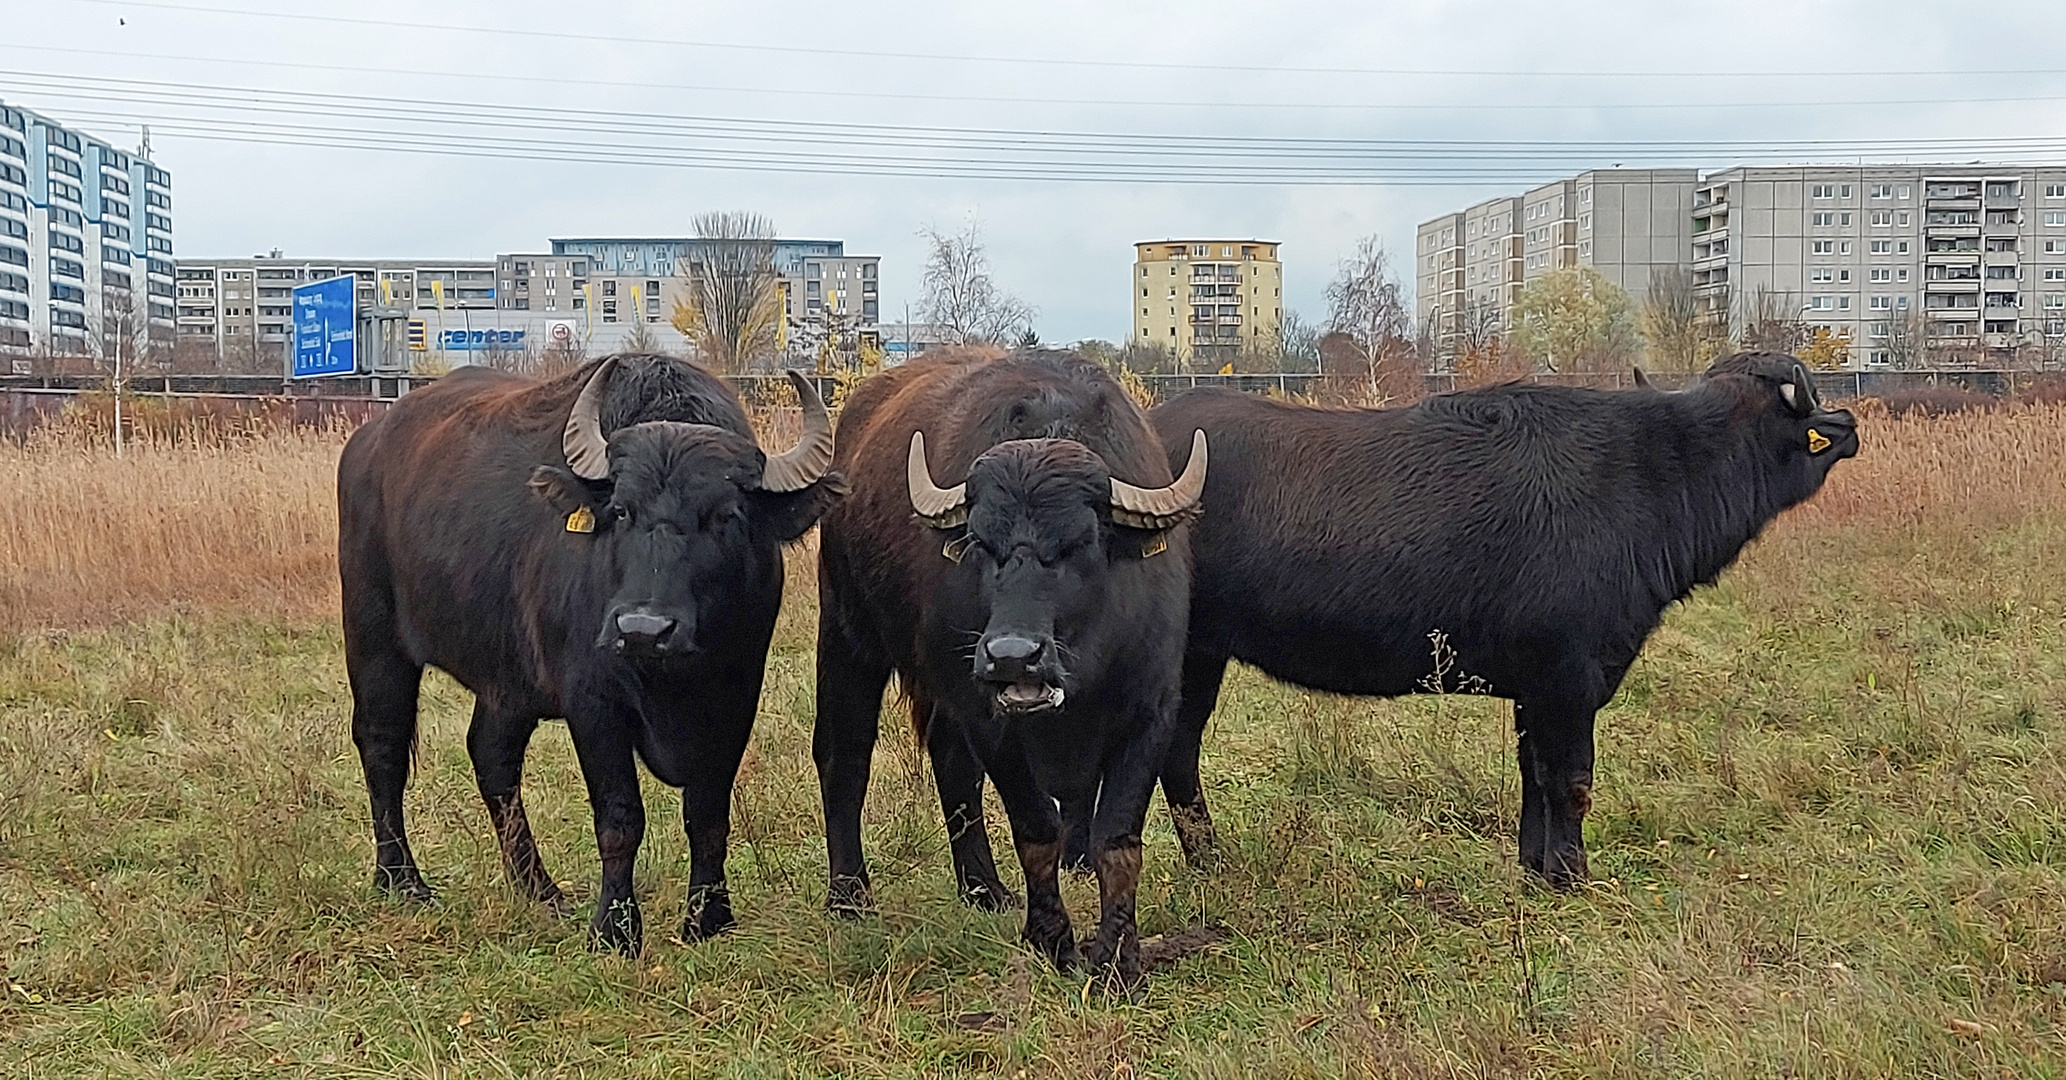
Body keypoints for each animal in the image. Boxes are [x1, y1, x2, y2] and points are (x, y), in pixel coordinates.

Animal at [334, 357, 842, 954]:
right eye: (621, 511)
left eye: (726, 516)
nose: (644, 629)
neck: (671, 678)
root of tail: (368, 443)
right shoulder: (594, 706)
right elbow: (620, 818)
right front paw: (615, 929)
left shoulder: (737, 698)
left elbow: (707, 813)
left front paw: (708, 917)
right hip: (374, 638)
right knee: (383, 744)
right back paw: (402, 879)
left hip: (507, 682)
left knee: (491, 756)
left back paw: (538, 888)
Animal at [809, 351, 1206, 982]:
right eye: (979, 541)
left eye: (1079, 543)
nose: (1011, 655)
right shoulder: (989, 718)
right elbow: (1037, 828)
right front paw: (1053, 940)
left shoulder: (1151, 712)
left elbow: (1115, 840)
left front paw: (1118, 955)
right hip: (848, 631)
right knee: (844, 753)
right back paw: (849, 893)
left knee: (949, 759)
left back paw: (982, 887)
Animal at [1148, 355, 1859, 887]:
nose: (1848, 423)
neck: (1654, 472)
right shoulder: (1569, 681)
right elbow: (1570, 781)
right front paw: (1571, 875)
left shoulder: (1532, 690)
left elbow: (1533, 778)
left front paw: (1535, 869)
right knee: (1176, 751)